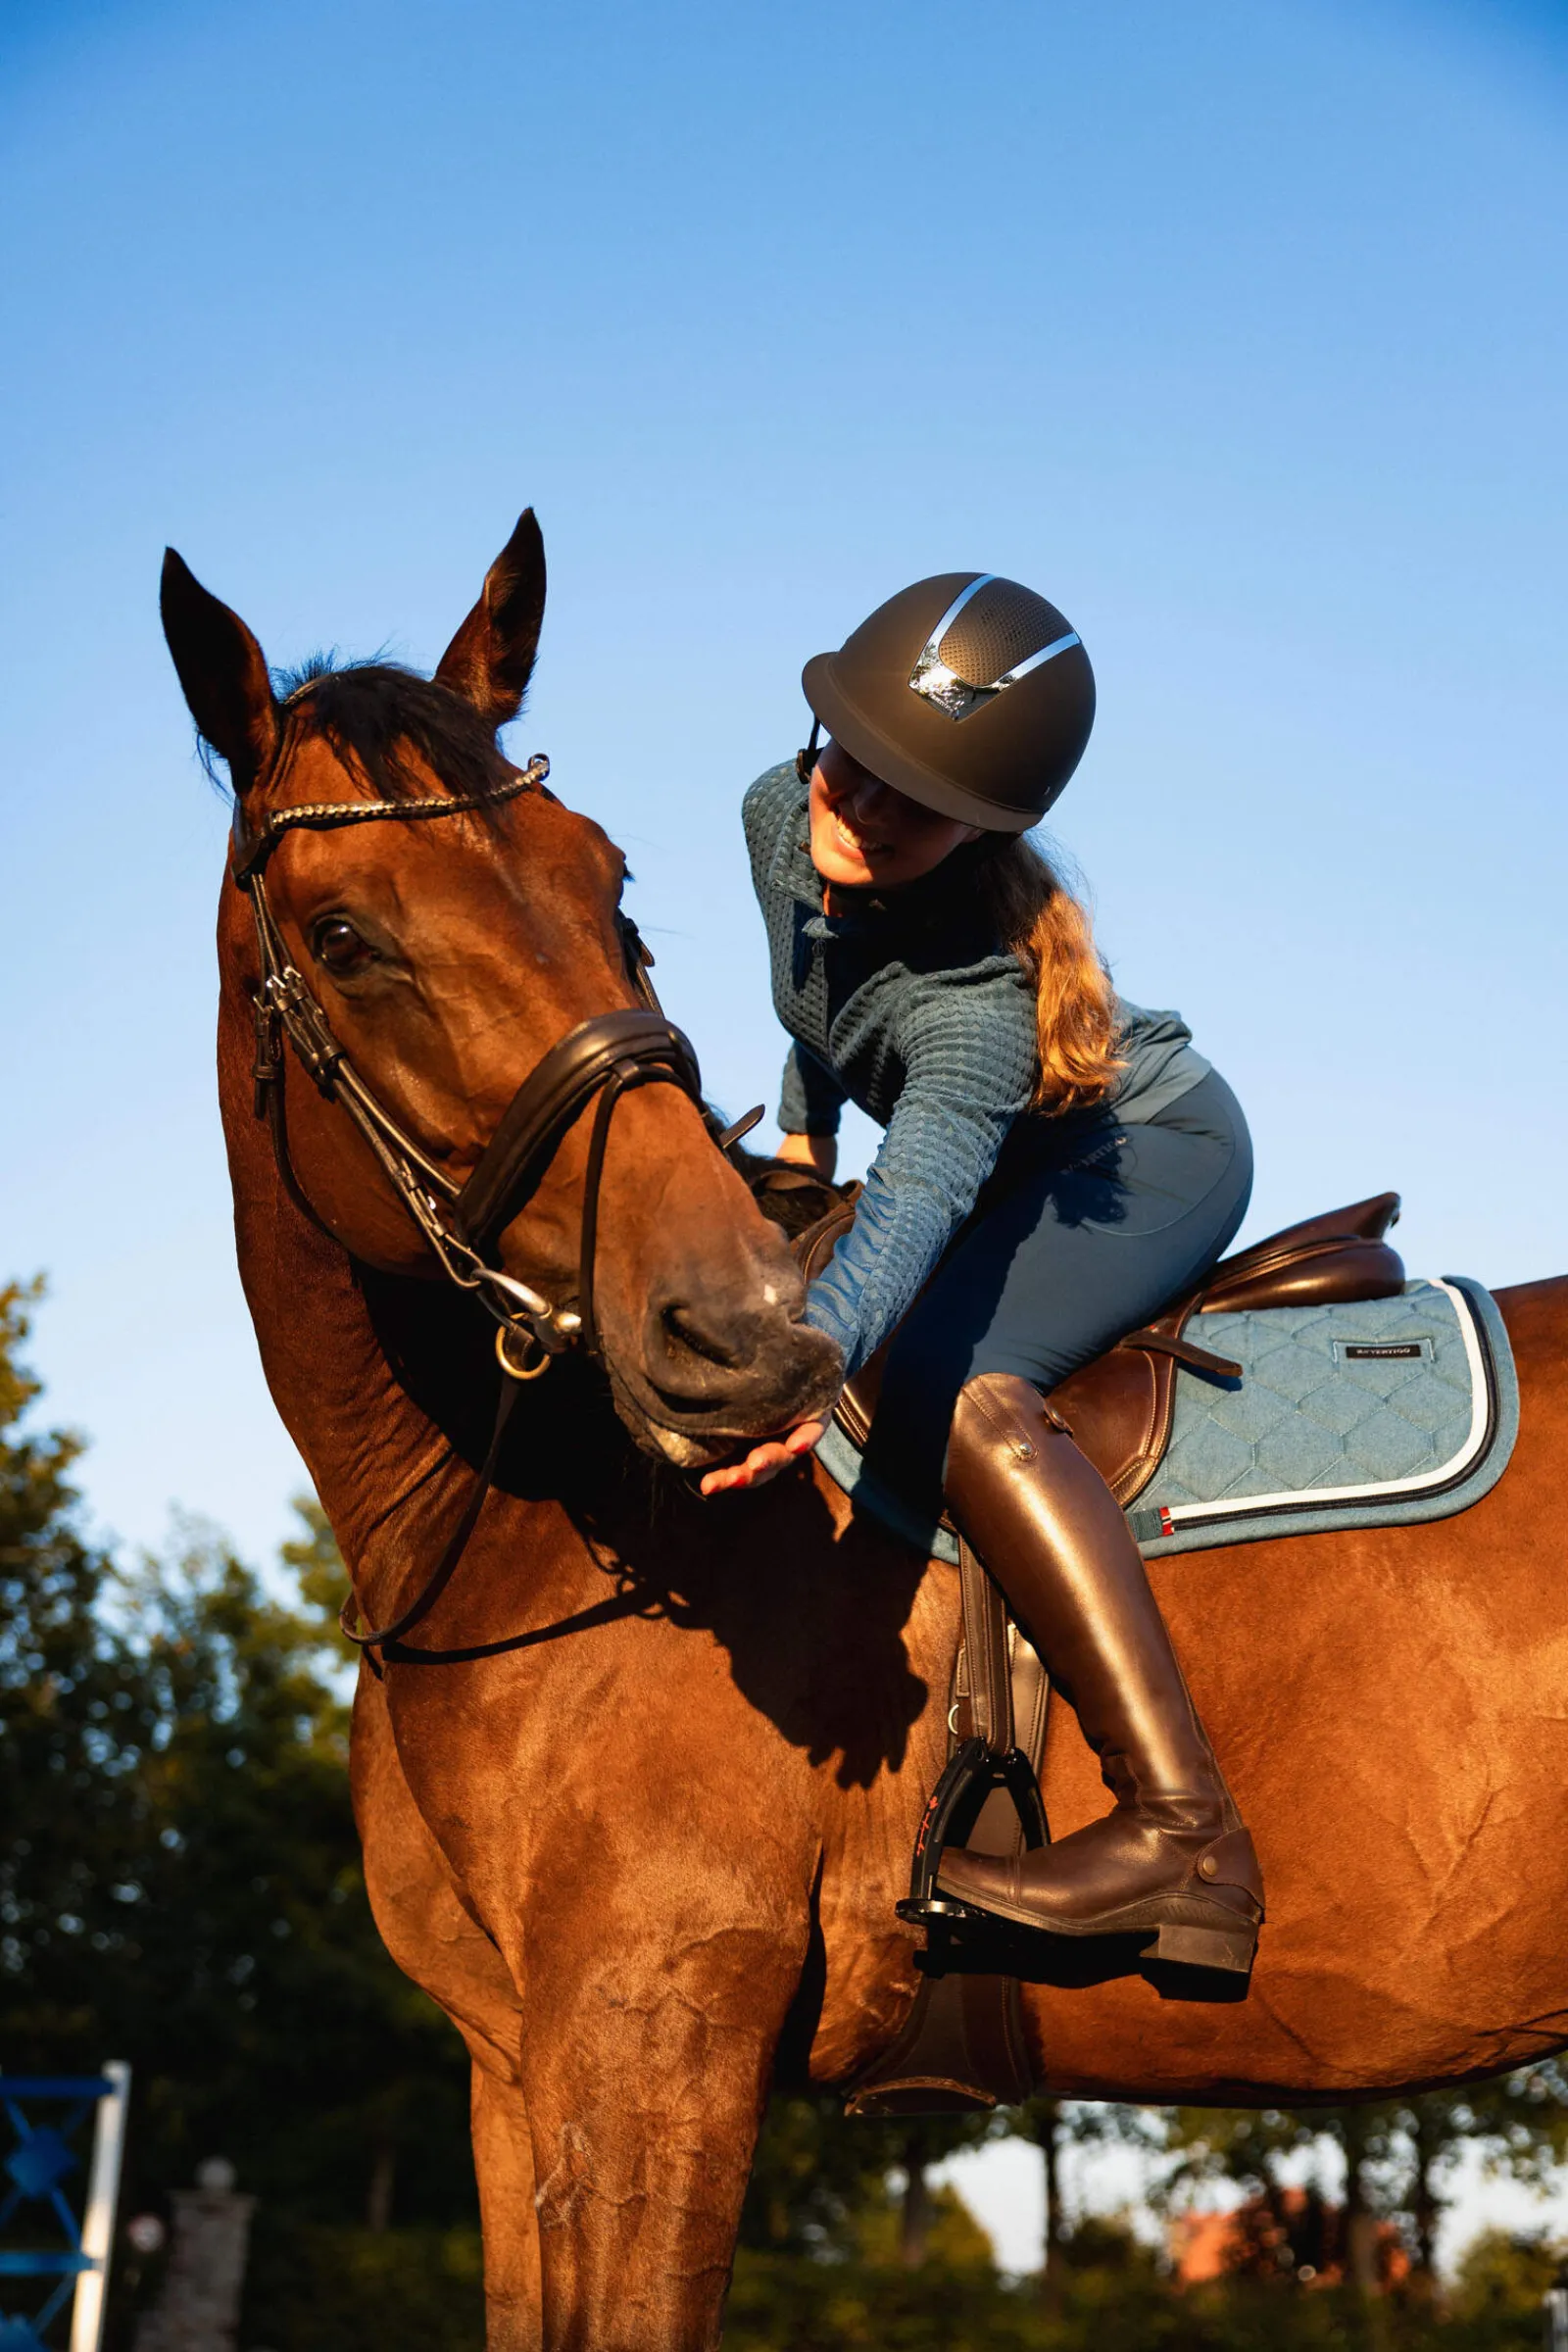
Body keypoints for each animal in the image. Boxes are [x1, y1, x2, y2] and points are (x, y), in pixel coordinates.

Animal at [162, 511, 1568, 2351]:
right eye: (343, 938)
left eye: (607, 883)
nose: (740, 1335)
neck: (536, 1527)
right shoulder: (516, 2068)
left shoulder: (657, 2028)